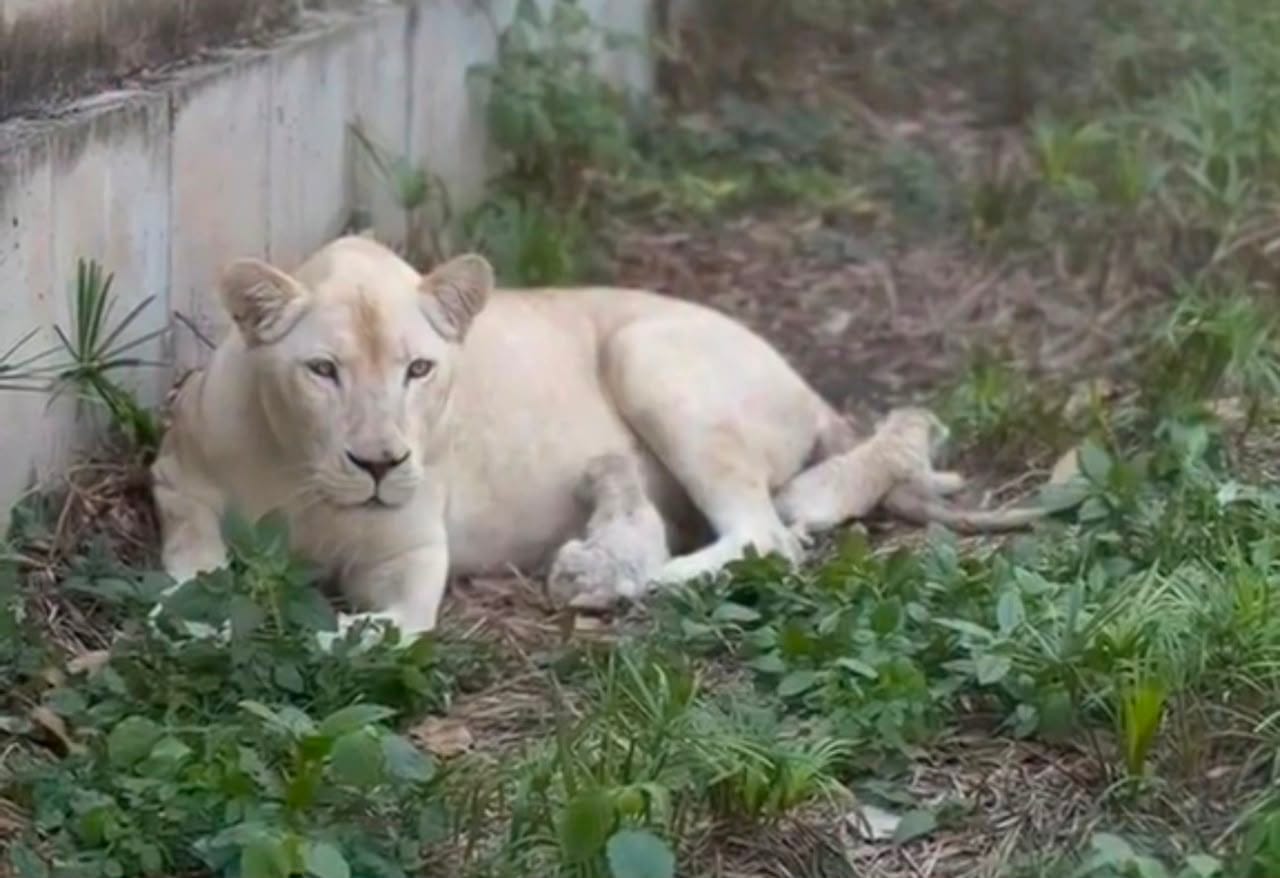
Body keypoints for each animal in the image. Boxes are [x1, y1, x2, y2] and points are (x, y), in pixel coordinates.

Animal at [150, 236, 1031, 638]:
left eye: (419, 370)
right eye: (323, 371)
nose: (379, 463)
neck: (306, 477)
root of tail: (806, 385)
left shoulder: (411, 563)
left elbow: (376, 631)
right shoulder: (174, 476)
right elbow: (191, 562)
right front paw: (200, 612)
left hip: (646, 352)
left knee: (767, 536)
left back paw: (629, 576)